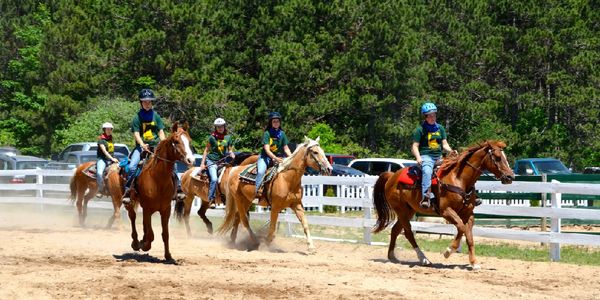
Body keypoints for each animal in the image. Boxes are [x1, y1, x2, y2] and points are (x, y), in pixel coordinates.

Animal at [125, 120, 195, 262]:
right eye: (176, 141)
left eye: (189, 141)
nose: (191, 160)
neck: (157, 179)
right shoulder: (147, 209)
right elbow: (151, 234)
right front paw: (144, 245)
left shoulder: (165, 209)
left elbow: (165, 233)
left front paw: (168, 256)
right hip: (131, 202)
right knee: (133, 217)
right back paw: (136, 242)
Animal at [370, 141, 516, 270]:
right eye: (497, 157)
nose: (510, 177)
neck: (459, 179)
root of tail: (391, 176)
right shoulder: (446, 211)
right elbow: (461, 228)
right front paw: (448, 251)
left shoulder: (468, 214)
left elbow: (468, 236)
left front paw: (474, 263)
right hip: (402, 211)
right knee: (408, 233)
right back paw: (424, 259)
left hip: (408, 211)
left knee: (395, 230)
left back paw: (392, 256)